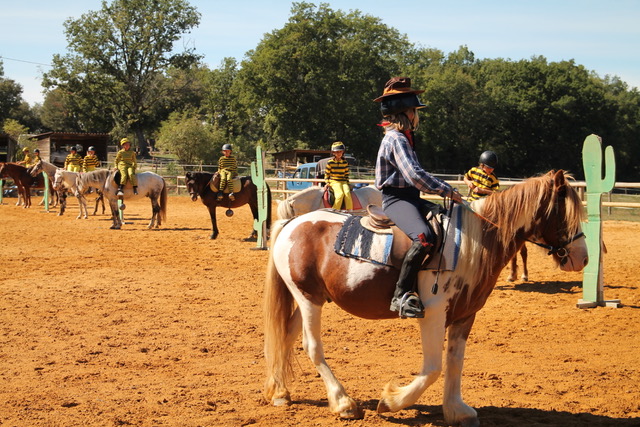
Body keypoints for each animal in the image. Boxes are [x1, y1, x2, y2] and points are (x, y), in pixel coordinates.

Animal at [264, 170, 592, 424]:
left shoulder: (464, 315)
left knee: (286, 334)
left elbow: (455, 362)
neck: (473, 242)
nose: (583, 258)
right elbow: (433, 368)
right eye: (564, 215)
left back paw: (280, 392)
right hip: (308, 298)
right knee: (312, 346)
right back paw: (343, 403)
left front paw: (457, 410)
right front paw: (391, 401)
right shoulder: (433, 314)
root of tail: (293, 224)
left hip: (311, 298)